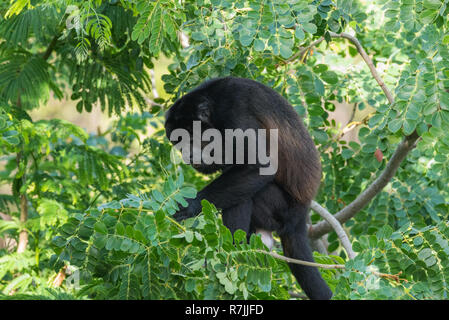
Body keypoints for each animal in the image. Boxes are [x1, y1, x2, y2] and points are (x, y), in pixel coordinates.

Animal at [163, 77, 330, 300]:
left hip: (282, 210)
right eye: (178, 143)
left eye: (190, 139)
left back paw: (231, 252)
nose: (187, 156)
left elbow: (259, 166)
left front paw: (190, 206)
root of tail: (301, 215)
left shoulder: (234, 114)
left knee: (251, 195)